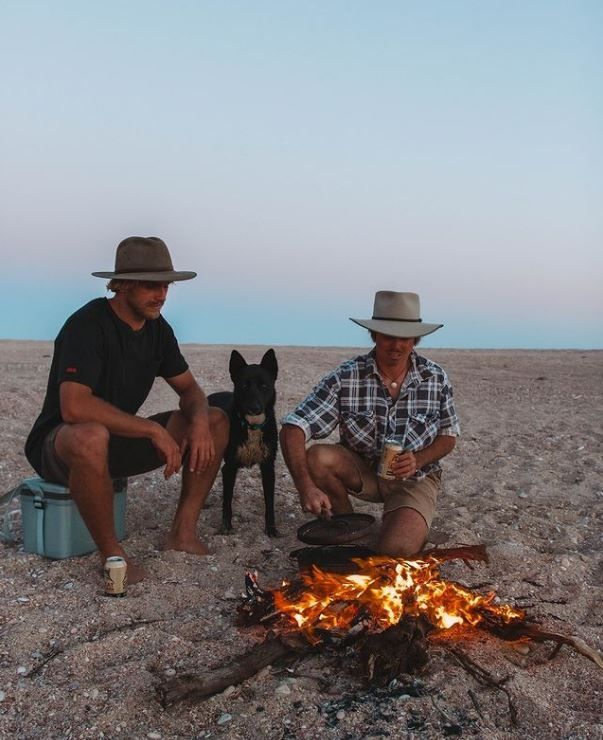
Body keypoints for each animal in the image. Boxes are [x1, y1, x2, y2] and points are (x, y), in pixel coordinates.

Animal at [209, 350, 280, 536]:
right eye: (244, 386)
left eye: (264, 386)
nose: (254, 408)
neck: (252, 425)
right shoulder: (229, 467)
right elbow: (227, 501)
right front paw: (226, 526)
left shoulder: (268, 467)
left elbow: (269, 503)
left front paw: (271, 529)